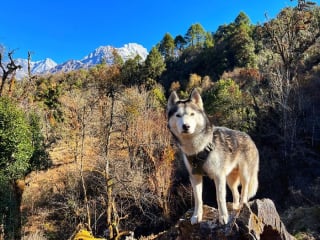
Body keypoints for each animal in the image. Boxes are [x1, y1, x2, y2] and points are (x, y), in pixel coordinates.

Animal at [166, 88, 258, 225]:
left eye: (192, 114)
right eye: (178, 115)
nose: (186, 126)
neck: (197, 148)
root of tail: (249, 138)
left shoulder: (218, 176)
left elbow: (219, 198)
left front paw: (223, 217)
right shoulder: (195, 176)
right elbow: (198, 199)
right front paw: (196, 216)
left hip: (244, 175)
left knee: (244, 192)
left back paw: (242, 206)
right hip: (230, 179)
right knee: (236, 193)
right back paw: (234, 207)